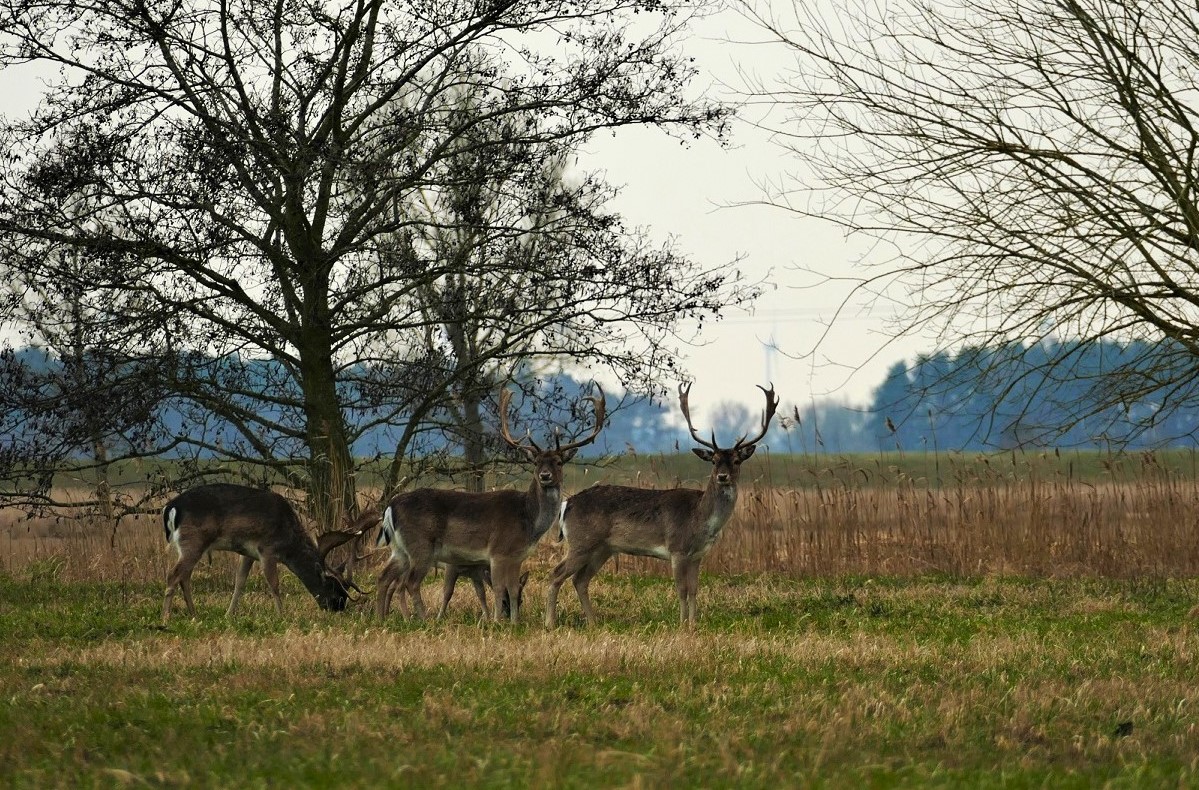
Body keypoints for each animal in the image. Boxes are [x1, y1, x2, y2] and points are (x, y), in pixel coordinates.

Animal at [160, 481, 364, 623]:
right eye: (335, 588)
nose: (339, 608)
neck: (288, 539)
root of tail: (170, 507)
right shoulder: (267, 548)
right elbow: (274, 584)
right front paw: (282, 616)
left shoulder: (247, 553)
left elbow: (240, 582)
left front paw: (229, 614)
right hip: (193, 540)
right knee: (174, 574)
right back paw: (166, 617)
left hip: (189, 545)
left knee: (184, 576)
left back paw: (194, 614)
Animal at [378, 383, 604, 623]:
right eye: (536, 462)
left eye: (559, 462)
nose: (545, 475)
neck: (528, 520)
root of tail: (390, 507)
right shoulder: (497, 551)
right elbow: (496, 589)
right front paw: (496, 622)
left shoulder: (517, 557)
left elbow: (512, 589)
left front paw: (515, 622)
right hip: (421, 546)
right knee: (409, 582)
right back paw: (424, 619)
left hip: (399, 549)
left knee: (384, 577)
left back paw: (379, 617)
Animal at [544, 383, 776, 628]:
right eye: (714, 461)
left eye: (736, 461)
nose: (723, 477)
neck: (700, 518)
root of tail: (567, 503)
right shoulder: (677, 548)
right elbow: (682, 590)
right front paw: (682, 625)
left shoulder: (698, 555)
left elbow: (694, 590)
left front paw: (693, 625)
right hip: (581, 542)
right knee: (556, 573)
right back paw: (550, 623)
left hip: (602, 548)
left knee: (579, 579)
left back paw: (593, 623)